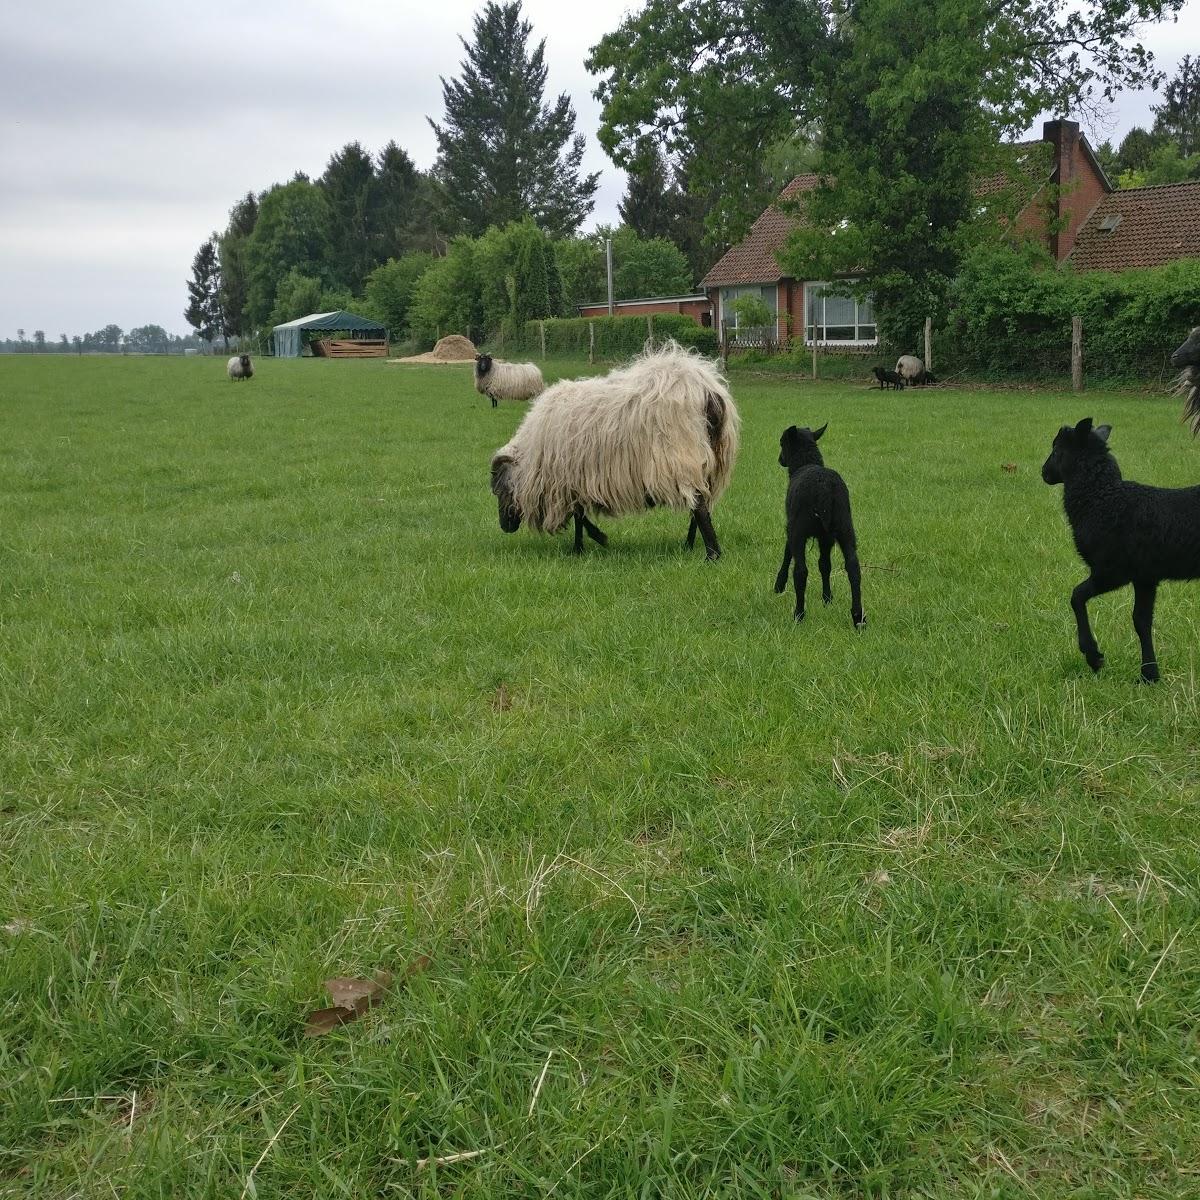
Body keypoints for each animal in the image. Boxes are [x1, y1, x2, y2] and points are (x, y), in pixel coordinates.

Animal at [489, 340, 739, 559]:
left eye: (499, 489)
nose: (504, 527)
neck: (532, 456)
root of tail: (706, 390)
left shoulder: (566, 480)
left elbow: (579, 516)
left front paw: (593, 540)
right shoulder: (576, 479)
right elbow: (579, 515)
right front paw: (582, 546)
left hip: (679, 455)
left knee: (699, 505)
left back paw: (712, 554)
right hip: (710, 457)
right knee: (700, 505)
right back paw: (689, 545)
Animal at [772, 424, 868, 628]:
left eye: (782, 442)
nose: (780, 460)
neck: (805, 463)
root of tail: (824, 488)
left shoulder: (791, 525)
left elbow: (787, 553)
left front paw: (779, 585)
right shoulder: (826, 538)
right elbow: (825, 565)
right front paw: (827, 598)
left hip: (800, 529)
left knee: (801, 572)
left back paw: (799, 614)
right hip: (845, 527)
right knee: (854, 568)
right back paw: (858, 617)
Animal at [1036, 417, 1200, 686]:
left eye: (1057, 449)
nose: (1044, 473)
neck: (1102, 499)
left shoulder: (1112, 571)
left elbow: (1076, 596)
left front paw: (1093, 656)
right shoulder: (1145, 577)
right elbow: (1141, 621)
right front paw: (1149, 675)